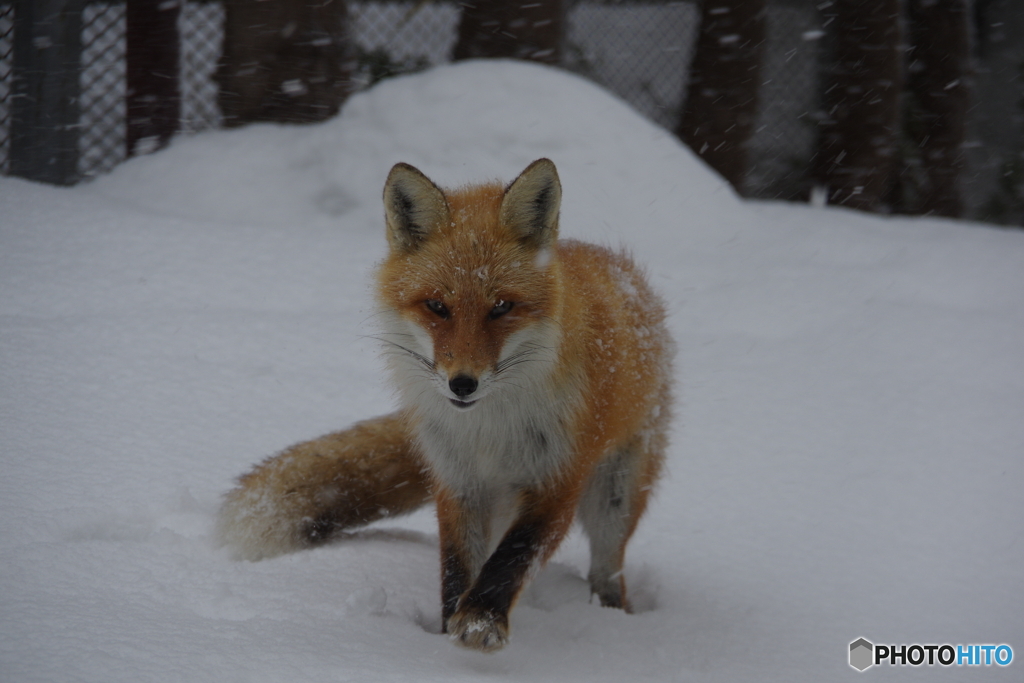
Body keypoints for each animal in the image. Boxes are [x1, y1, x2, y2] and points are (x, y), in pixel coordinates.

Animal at [218, 157, 671, 655]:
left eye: (501, 307)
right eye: (437, 306)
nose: (463, 384)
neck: (489, 430)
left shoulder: (557, 481)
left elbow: (513, 557)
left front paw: (481, 620)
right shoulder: (458, 480)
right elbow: (457, 566)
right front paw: (444, 633)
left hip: (616, 496)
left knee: (608, 568)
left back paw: (612, 616)